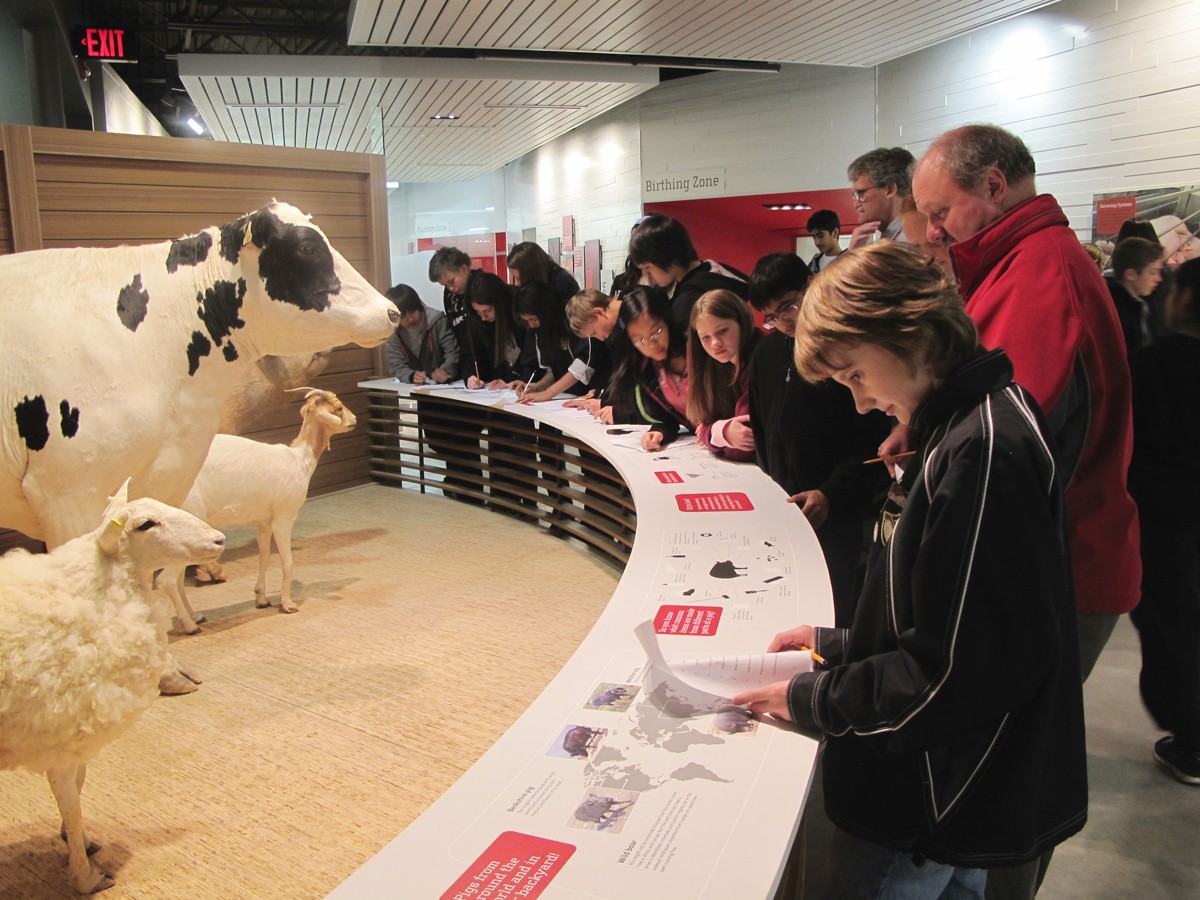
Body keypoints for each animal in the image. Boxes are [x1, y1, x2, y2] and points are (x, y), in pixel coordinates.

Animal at [0, 482, 225, 892]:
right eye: (146, 524)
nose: (219, 539)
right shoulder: (57, 736)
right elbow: (70, 798)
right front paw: (84, 874)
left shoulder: (75, 736)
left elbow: (80, 784)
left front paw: (80, 841)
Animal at [164, 388, 360, 633]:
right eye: (339, 408)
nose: (355, 420)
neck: (299, 460)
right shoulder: (283, 519)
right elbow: (288, 562)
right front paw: (288, 604)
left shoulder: (263, 523)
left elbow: (264, 558)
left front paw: (262, 599)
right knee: (167, 580)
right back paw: (190, 625)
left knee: (178, 579)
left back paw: (196, 616)